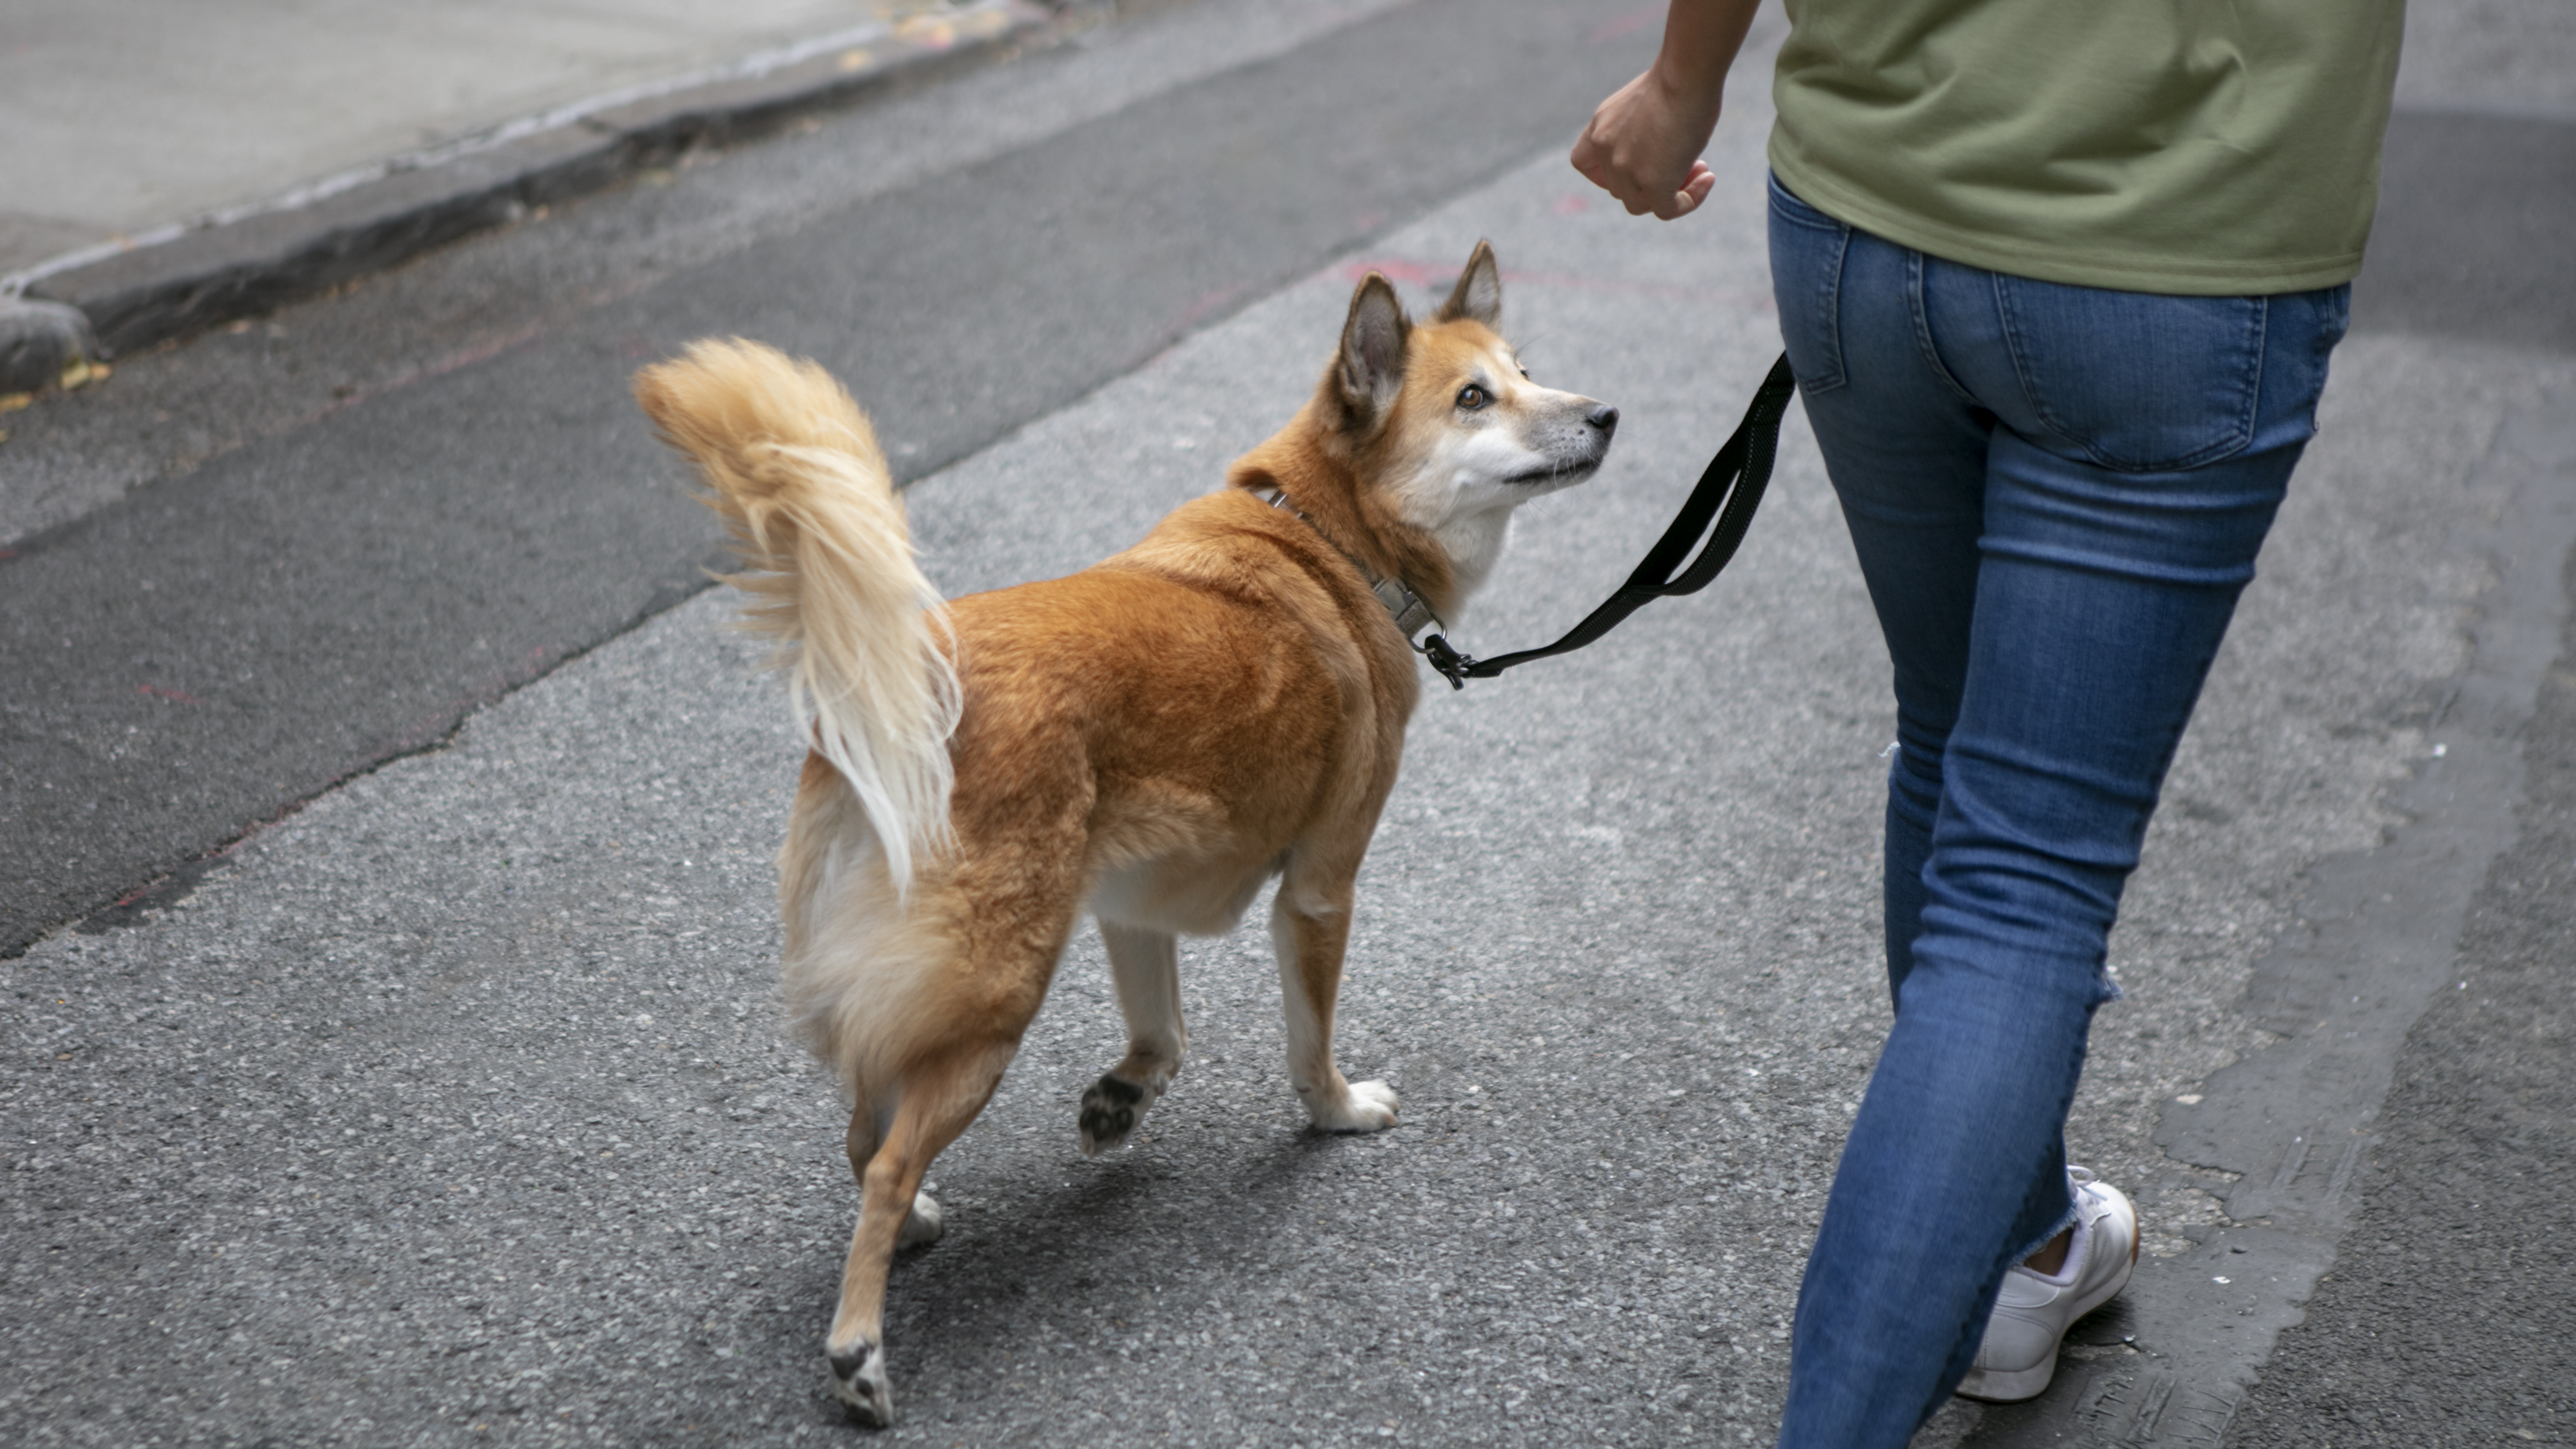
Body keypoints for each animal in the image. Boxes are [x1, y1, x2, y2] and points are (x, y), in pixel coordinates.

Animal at [636, 240, 1618, 1423]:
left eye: (1527, 371)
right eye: (1475, 398)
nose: (1606, 414)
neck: (1328, 539)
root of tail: (913, 675)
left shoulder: (1133, 902)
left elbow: (1166, 1036)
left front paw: (1118, 1101)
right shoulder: (1320, 888)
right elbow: (1308, 1044)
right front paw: (1335, 1111)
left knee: (865, 1124)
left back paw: (917, 1221)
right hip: (996, 992)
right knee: (882, 1153)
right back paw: (859, 1348)